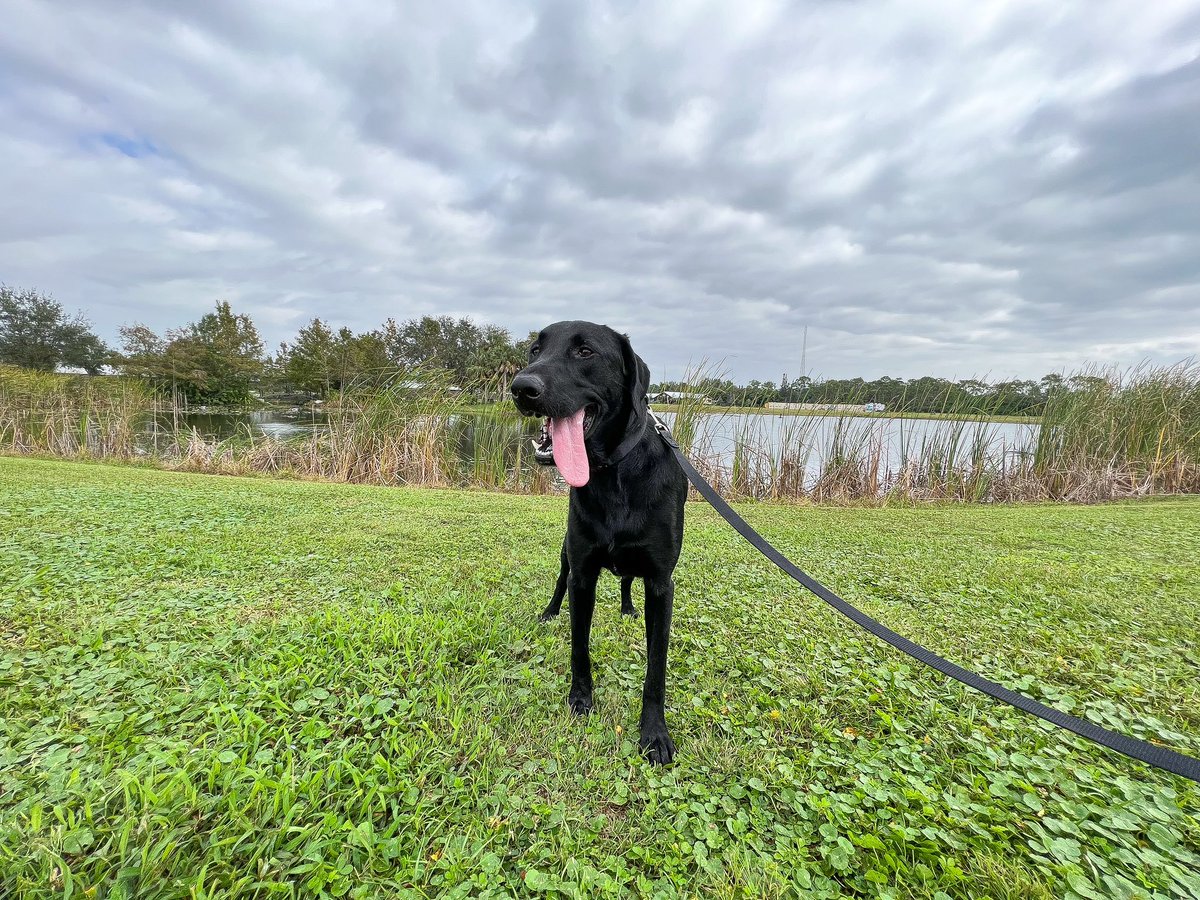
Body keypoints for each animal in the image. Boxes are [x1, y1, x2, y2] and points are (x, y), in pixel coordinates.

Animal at [511, 321, 691, 763]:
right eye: (535, 350)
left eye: (585, 351)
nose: (521, 387)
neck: (613, 473)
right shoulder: (583, 572)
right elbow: (579, 644)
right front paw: (580, 698)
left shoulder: (661, 583)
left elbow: (656, 669)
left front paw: (655, 733)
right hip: (565, 552)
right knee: (560, 580)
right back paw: (549, 612)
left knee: (627, 580)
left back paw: (627, 608)